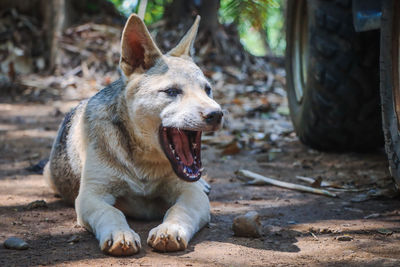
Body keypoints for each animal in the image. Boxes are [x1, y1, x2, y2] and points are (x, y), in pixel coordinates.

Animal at [45, 13, 223, 256]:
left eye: (207, 90)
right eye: (172, 92)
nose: (217, 114)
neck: (143, 164)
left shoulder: (190, 193)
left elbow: (178, 211)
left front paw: (170, 230)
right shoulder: (91, 196)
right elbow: (112, 212)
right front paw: (120, 234)